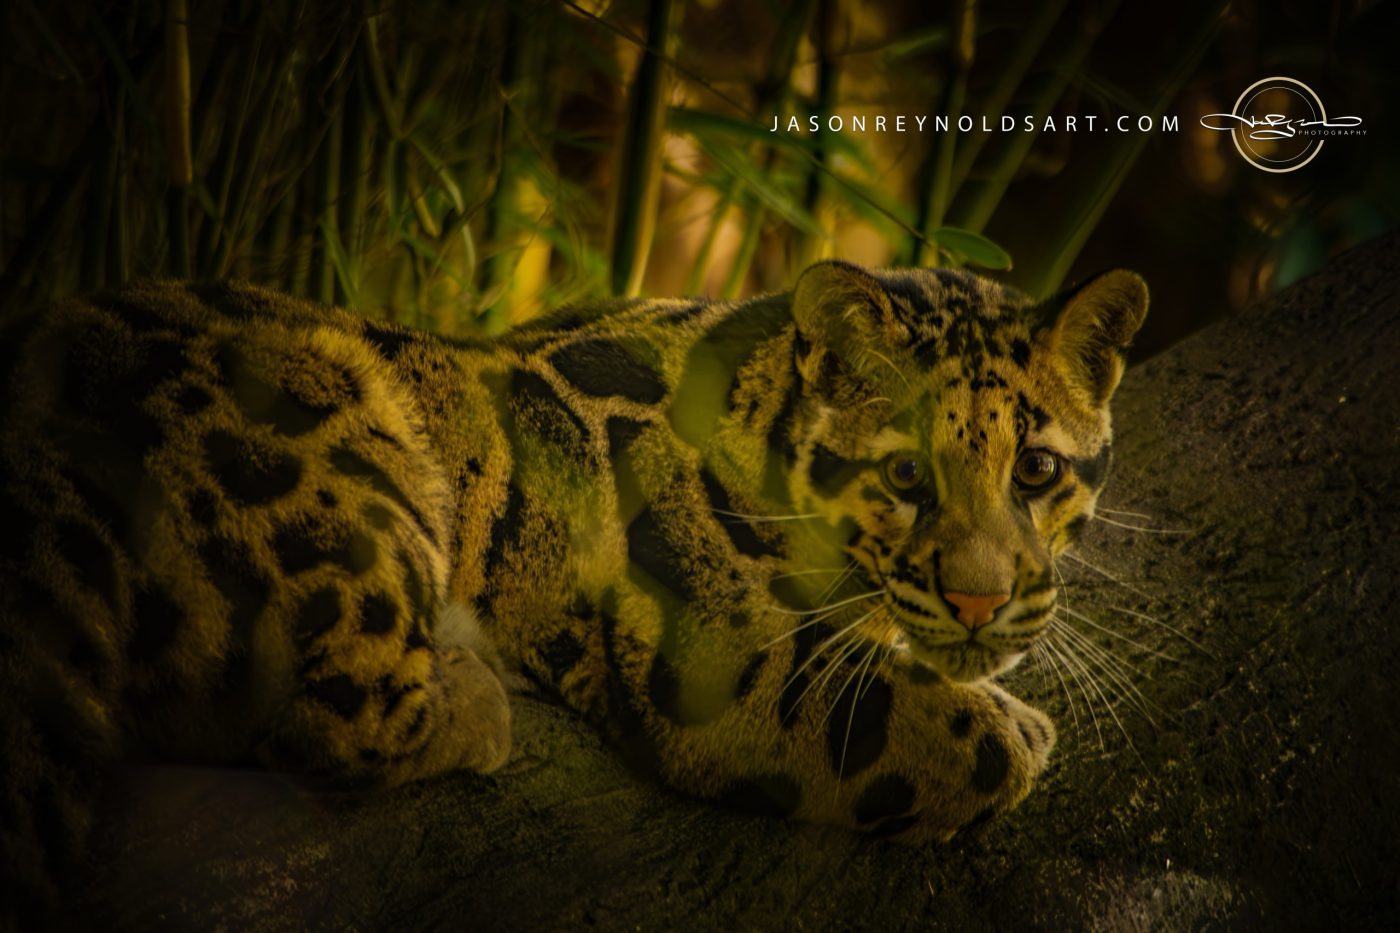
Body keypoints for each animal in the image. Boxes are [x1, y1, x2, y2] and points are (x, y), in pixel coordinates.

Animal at [0, 260, 1147, 918]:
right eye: (907, 476)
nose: (980, 602)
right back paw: (477, 696)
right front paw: (1009, 725)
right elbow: (938, 734)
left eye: (1036, 470)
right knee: (333, 718)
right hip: (325, 419)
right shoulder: (721, 668)